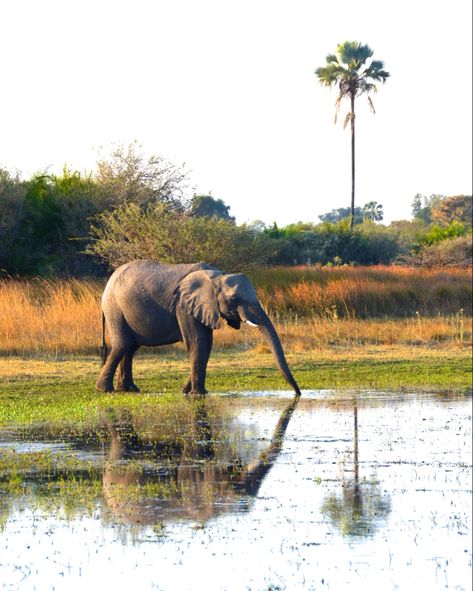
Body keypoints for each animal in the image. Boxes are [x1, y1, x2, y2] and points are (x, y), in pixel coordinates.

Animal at [94, 260, 298, 396]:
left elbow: (206, 344)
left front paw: (187, 391)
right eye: (234, 300)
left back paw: (129, 390)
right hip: (115, 308)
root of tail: (108, 283)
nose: (298, 394)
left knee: (130, 348)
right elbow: (198, 342)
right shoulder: (184, 306)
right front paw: (198, 394)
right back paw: (105, 390)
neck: (218, 277)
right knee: (122, 344)